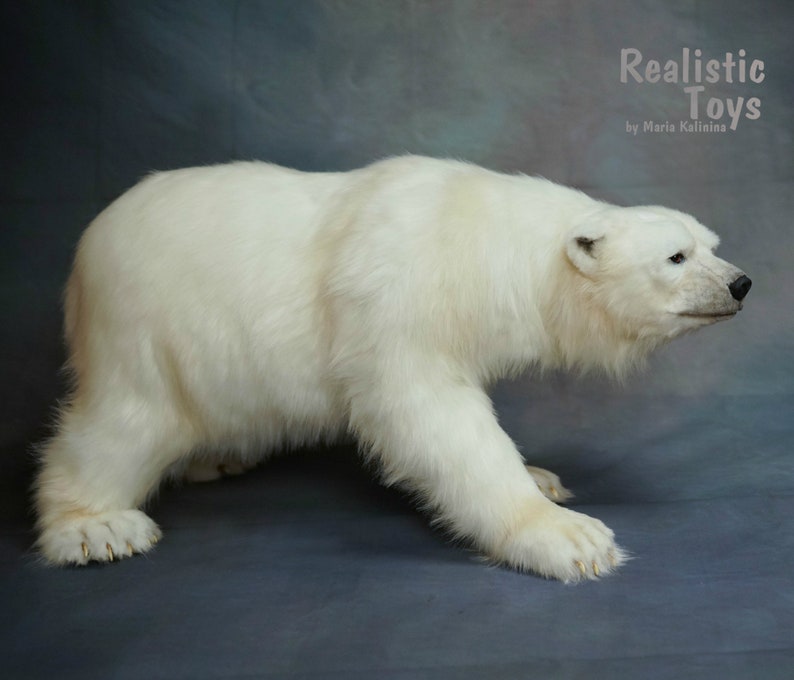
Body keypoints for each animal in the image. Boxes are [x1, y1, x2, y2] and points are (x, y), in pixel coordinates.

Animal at [34, 156, 751, 582]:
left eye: (711, 244)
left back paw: (217, 459)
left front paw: (542, 478)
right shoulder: (400, 301)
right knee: (125, 421)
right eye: (676, 257)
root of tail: (83, 252)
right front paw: (569, 537)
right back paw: (95, 525)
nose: (741, 283)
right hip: (145, 325)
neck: (480, 242)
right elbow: (431, 417)